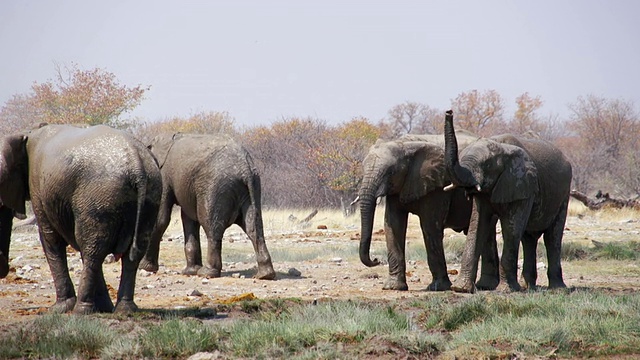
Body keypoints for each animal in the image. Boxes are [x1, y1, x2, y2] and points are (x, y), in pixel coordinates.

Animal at [0, 125, 162, 314]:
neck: (26, 136)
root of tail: (137, 166)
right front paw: (103, 308)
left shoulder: (38, 188)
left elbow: (50, 239)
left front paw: (59, 309)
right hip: (150, 194)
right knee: (129, 253)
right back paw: (124, 310)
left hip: (99, 198)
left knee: (93, 251)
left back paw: (81, 311)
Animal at [140, 134, 276, 280]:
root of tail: (246, 168)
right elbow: (188, 219)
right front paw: (190, 271)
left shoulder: (164, 174)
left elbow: (161, 219)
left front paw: (145, 268)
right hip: (252, 188)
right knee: (254, 227)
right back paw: (265, 275)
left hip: (215, 187)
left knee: (211, 225)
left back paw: (207, 273)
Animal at [358, 133, 502, 292]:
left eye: (391, 172)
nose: (376, 260)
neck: (404, 144)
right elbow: (392, 225)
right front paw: (393, 287)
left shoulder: (437, 185)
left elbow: (430, 227)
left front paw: (438, 287)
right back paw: (486, 286)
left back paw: (485, 286)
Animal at [442, 109, 572, 292]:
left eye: (487, 165)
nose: (449, 112)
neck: (501, 146)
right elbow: (477, 225)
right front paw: (461, 289)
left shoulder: (523, 184)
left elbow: (511, 228)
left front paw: (506, 290)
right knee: (528, 238)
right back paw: (528, 286)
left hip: (563, 194)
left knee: (552, 237)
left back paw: (557, 288)